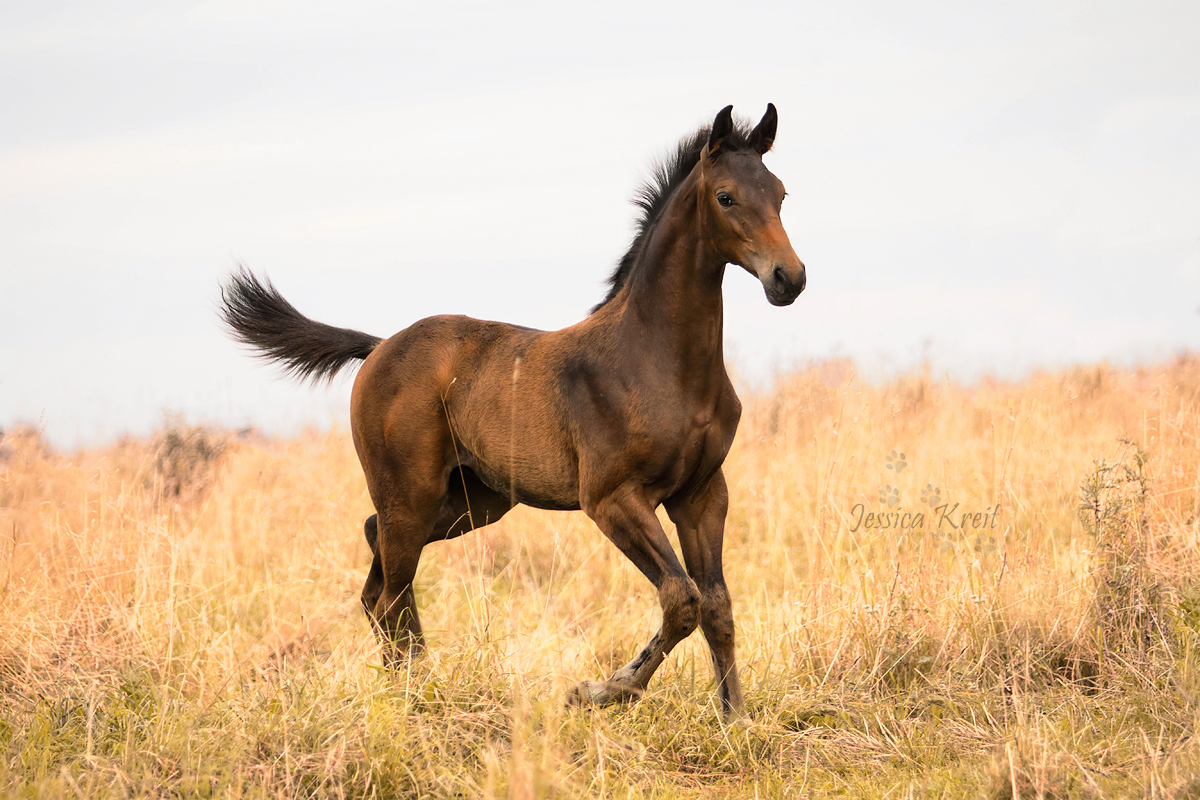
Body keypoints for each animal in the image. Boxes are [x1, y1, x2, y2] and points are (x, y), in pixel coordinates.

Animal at [225, 103, 806, 714]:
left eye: (781, 193)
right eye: (725, 197)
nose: (788, 278)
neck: (657, 358)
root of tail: (379, 347)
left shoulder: (702, 494)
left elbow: (716, 605)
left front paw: (735, 718)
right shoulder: (612, 498)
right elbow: (681, 599)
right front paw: (599, 691)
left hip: (470, 501)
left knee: (376, 563)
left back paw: (417, 680)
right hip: (412, 495)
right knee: (388, 591)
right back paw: (412, 694)